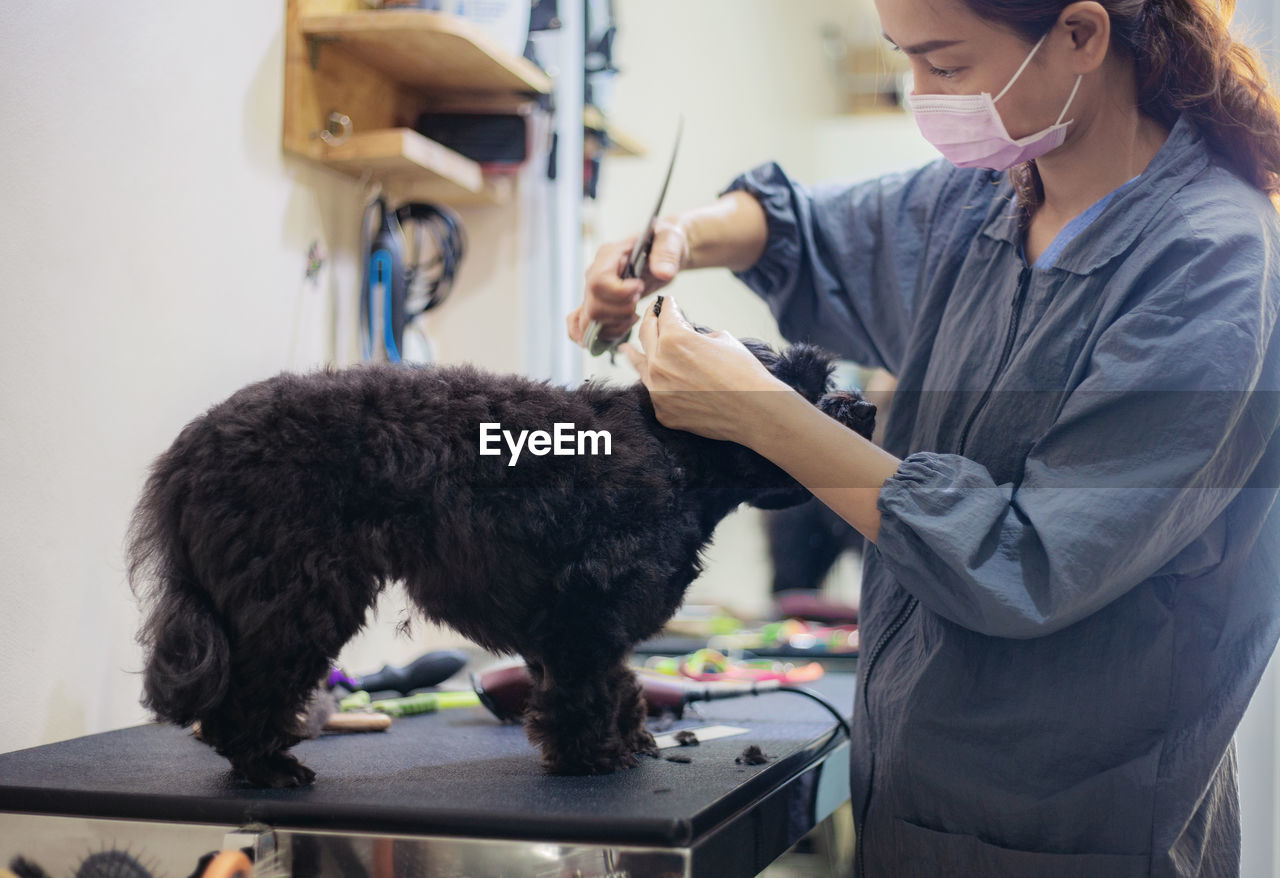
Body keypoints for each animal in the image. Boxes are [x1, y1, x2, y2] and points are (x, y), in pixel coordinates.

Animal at [129, 330, 875, 793]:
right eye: (798, 389)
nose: (862, 407)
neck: (678, 455)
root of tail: (188, 454)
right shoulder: (584, 609)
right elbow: (584, 689)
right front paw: (592, 757)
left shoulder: (579, 621)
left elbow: (613, 681)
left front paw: (628, 739)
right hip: (295, 597)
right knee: (246, 696)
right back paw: (268, 767)